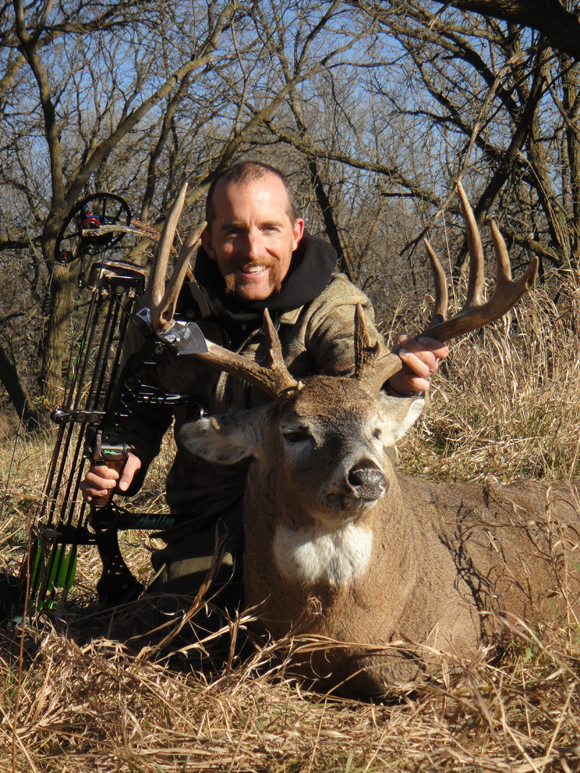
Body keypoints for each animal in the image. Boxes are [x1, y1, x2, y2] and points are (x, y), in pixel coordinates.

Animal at [142, 182, 580, 699]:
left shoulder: (460, 629)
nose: (366, 476)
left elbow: (384, 669)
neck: (335, 626)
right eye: (294, 431)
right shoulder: (264, 642)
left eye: (376, 429)